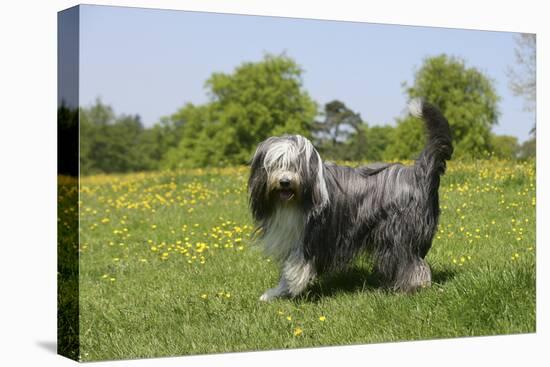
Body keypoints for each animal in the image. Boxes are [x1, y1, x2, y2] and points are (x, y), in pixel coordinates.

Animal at [249, 98, 452, 302]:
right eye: (275, 165)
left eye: (295, 165)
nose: (285, 182)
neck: (297, 199)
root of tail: (419, 172)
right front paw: (274, 293)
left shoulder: (312, 237)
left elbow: (296, 267)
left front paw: (291, 288)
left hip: (398, 232)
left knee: (411, 262)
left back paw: (409, 288)